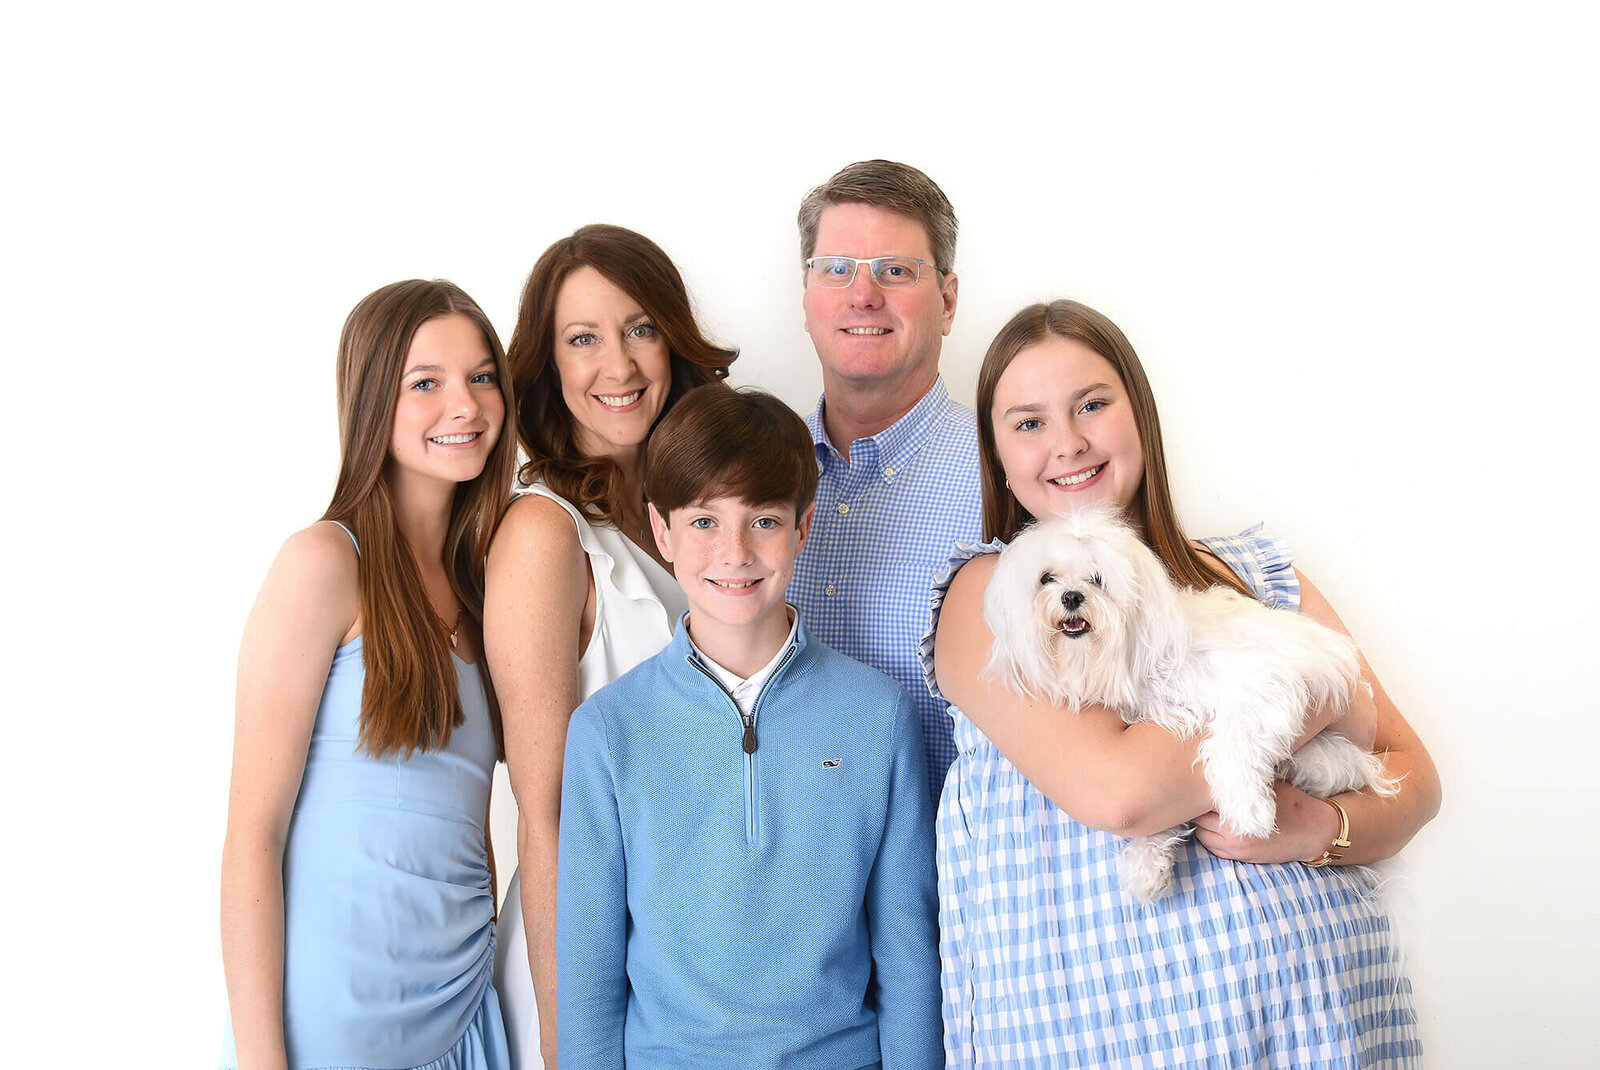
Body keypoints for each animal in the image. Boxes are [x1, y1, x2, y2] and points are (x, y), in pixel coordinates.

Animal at [979, 508, 1395, 902]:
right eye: (1047, 579)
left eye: (1098, 579)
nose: (1071, 596)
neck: (1143, 659)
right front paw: (1149, 861)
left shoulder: (1262, 685)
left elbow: (1233, 745)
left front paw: (1248, 810)